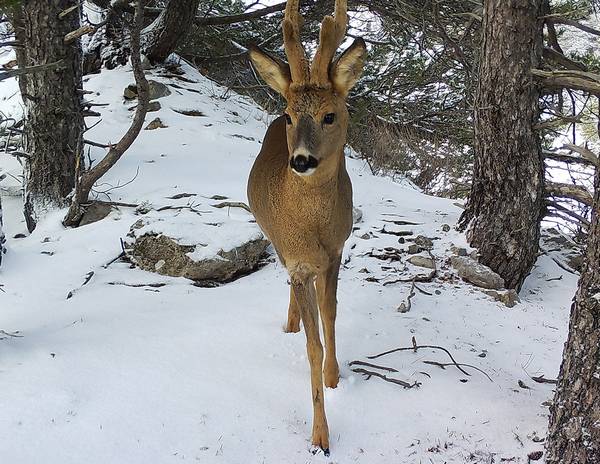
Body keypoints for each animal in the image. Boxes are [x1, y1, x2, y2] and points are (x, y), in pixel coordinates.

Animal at [245, 0, 366, 454]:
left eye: (330, 115)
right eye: (289, 115)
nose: (300, 160)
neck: (313, 229)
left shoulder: (336, 251)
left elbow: (331, 314)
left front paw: (334, 377)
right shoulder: (298, 260)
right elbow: (311, 346)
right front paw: (320, 435)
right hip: (275, 242)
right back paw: (291, 320)